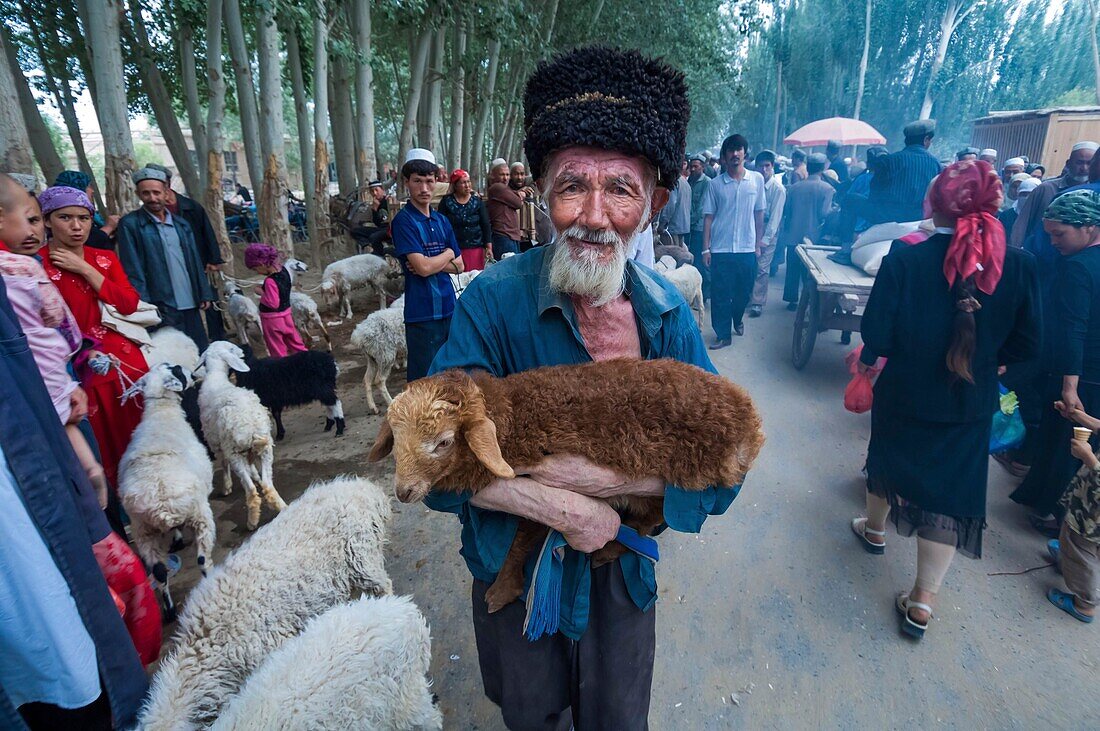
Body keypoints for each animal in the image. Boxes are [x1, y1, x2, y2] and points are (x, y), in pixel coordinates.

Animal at [119, 362, 215, 619]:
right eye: (177, 370)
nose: (191, 372)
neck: (161, 412)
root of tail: (162, 504)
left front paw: (177, 538)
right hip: (200, 515)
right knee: (203, 559)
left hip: (142, 530)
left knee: (160, 572)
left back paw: (170, 611)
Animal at [195, 338, 286, 527]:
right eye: (231, 348)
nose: (243, 352)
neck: (216, 377)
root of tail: (249, 426)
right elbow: (253, 469)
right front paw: (256, 475)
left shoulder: (217, 444)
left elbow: (223, 464)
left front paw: (227, 486)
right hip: (266, 447)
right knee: (268, 484)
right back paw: (282, 506)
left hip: (234, 451)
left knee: (250, 490)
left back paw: (252, 522)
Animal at [369, 356, 765, 611]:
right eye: (396, 438)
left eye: (444, 442)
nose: (404, 491)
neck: (512, 414)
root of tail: (748, 421)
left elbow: (522, 537)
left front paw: (501, 591)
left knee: (652, 520)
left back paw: (609, 549)